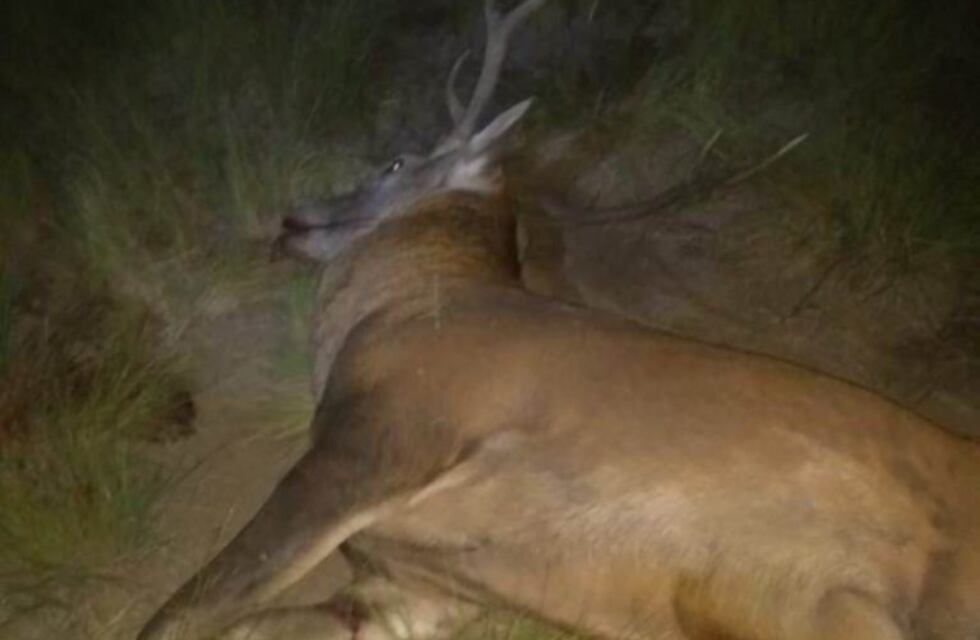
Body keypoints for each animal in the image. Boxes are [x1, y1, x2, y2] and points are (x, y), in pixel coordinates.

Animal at [137, 1, 980, 639]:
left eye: (397, 163)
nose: (293, 218)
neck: (401, 310)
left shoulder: (383, 437)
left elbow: (182, 611)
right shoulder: (411, 592)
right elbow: (243, 621)